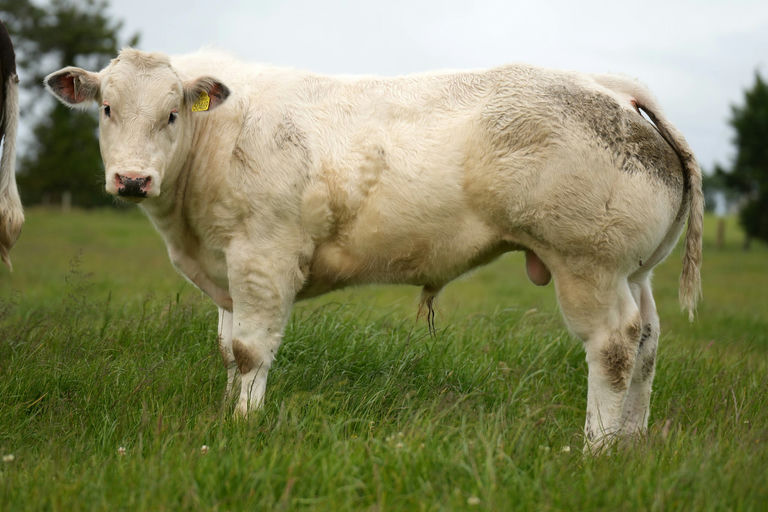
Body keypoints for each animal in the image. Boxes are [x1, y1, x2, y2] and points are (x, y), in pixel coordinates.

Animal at [45, 49, 702, 450]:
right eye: (107, 109)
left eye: (172, 113)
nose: (132, 179)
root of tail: (610, 86)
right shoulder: (227, 271)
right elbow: (229, 351)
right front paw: (226, 414)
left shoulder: (263, 255)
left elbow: (252, 350)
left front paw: (245, 425)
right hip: (633, 271)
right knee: (646, 341)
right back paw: (630, 443)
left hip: (588, 264)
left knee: (612, 346)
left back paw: (595, 448)